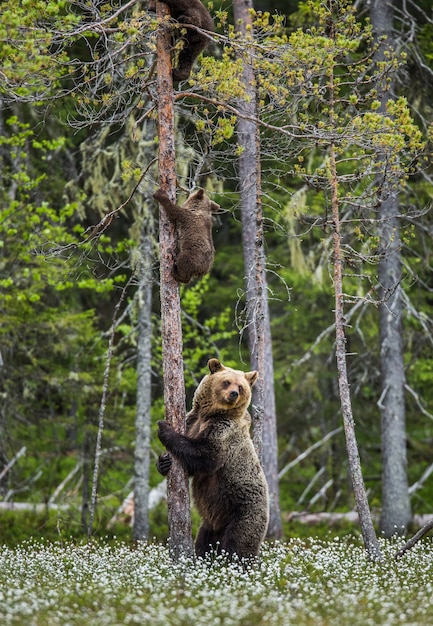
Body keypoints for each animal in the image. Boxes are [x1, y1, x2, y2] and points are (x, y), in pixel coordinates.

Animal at [157, 358, 268, 560]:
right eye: (227, 382)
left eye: (240, 386)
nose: (233, 393)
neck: (211, 414)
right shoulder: (193, 421)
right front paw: (163, 462)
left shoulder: (224, 431)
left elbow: (205, 456)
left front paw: (164, 427)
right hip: (210, 524)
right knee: (204, 543)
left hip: (244, 513)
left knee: (238, 545)